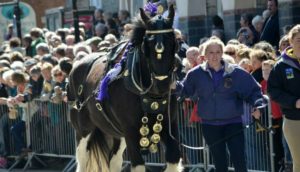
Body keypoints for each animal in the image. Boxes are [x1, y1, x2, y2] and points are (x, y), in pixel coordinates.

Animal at [67, 4, 180, 171]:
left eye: (174, 42)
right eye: (147, 45)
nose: (163, 84)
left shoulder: (169, 126)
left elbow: (173, 159)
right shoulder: (131, 132)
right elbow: (138, 164)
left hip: (116, 134)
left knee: (114, 161)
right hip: (83, 130)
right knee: (82, 160)